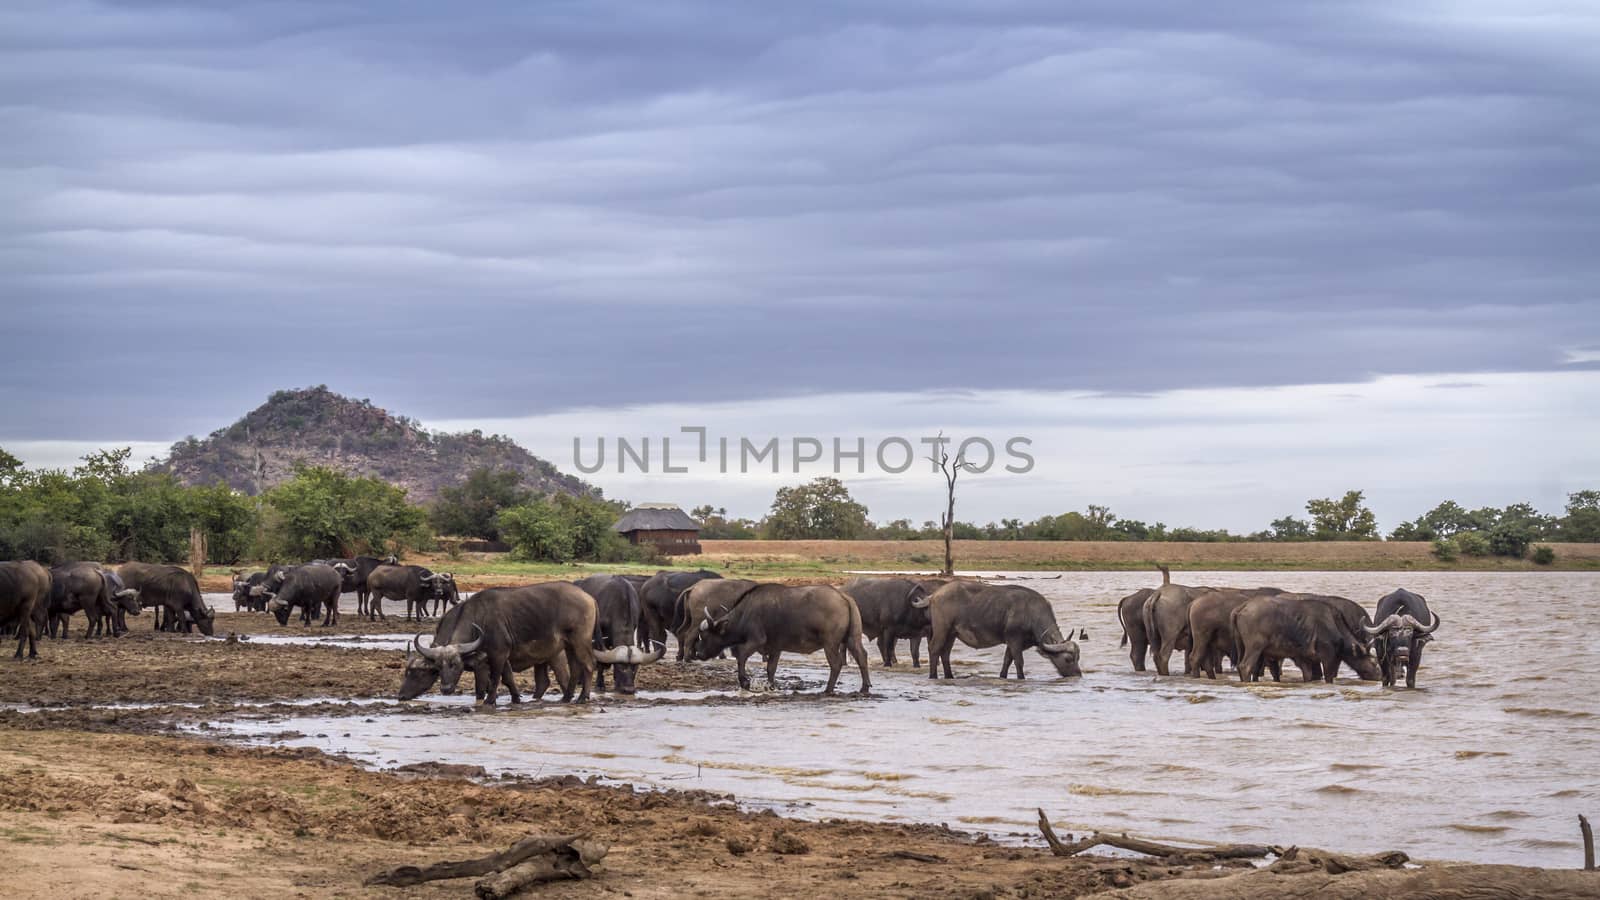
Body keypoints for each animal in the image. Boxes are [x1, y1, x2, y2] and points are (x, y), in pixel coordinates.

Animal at [403, 576, 620, 704]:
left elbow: (494, 679)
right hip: (568, 646)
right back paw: (566, 698)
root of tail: (588, 597)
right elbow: (507, 678)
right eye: (438, 667)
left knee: (588, 665)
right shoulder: (497, 657)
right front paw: (516, 698)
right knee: (574, 669)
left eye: (455, 665)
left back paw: (582, 698)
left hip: (580, 641)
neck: (479, 619)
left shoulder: (497, 655)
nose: (446, 689)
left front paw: (489, 701)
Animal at [691, 582, 870, 695]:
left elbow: (741, 657)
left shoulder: (756, 641)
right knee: (861, 656)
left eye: (704, 635)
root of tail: (843, 597)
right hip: (852, 638)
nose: (698, 654)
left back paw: (828, 689)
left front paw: (745, 682)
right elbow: (771, 668)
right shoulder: (775, 648)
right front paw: (771, 687)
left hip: (830, 643)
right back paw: (865, 687)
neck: (745, 613)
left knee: (836, 664)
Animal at [921, 576, 1081, 675]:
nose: (1077, 674)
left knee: (945, 653)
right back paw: (933, 676)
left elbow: (1007, 661)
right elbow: (1019, 662)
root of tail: (934, 594)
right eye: (1068, 659)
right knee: (934, 649)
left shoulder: (1013, 643)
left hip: (952, 634)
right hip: (942, 630)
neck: (1031, 612)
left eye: (1078, 658)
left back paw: (949, 676)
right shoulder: (1015, 640)